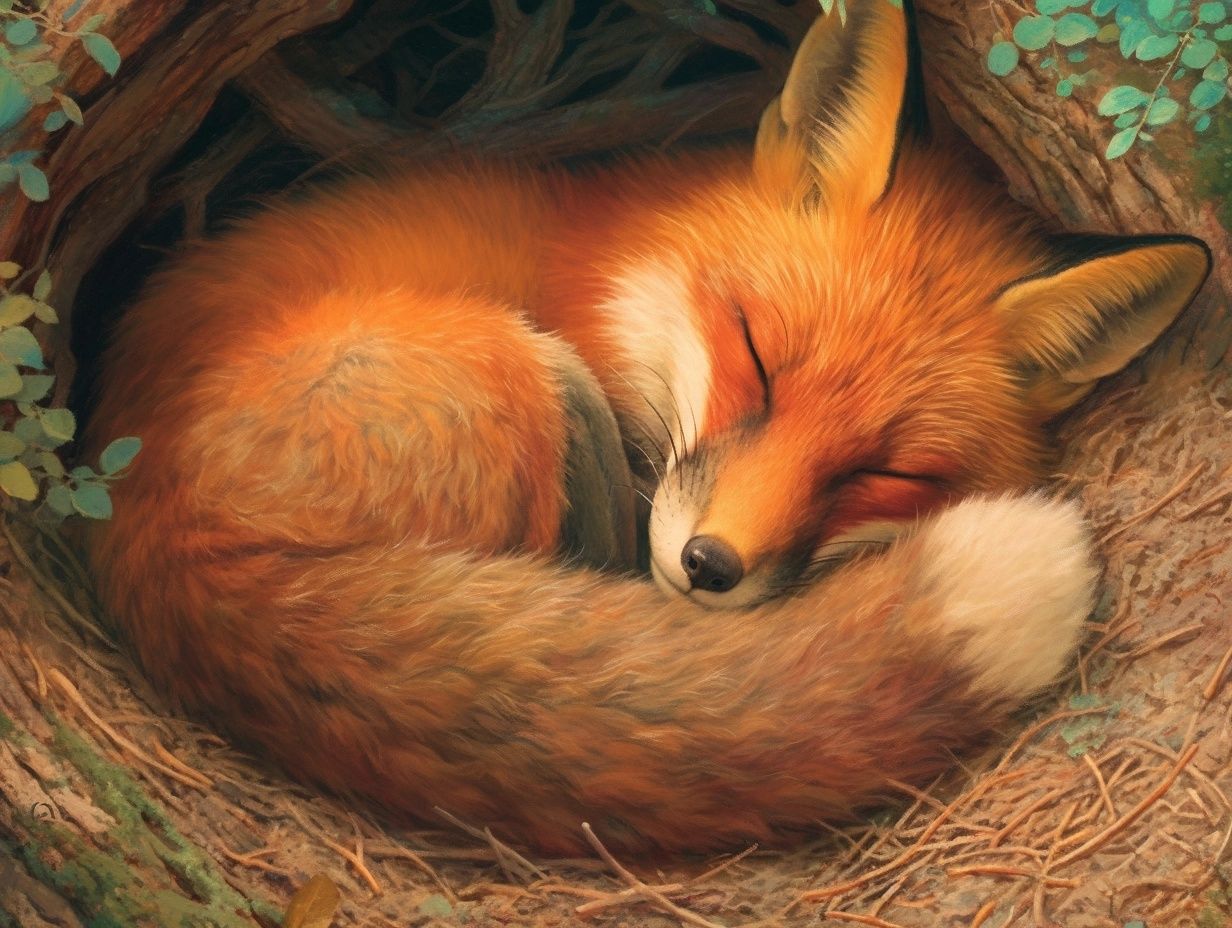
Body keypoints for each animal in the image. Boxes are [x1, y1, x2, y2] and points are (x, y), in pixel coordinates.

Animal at [83, 0, 1209, 855]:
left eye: (884, 473)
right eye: (755, 358)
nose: (712, 566)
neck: (603, 268)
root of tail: (158, 533)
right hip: (521, 369)